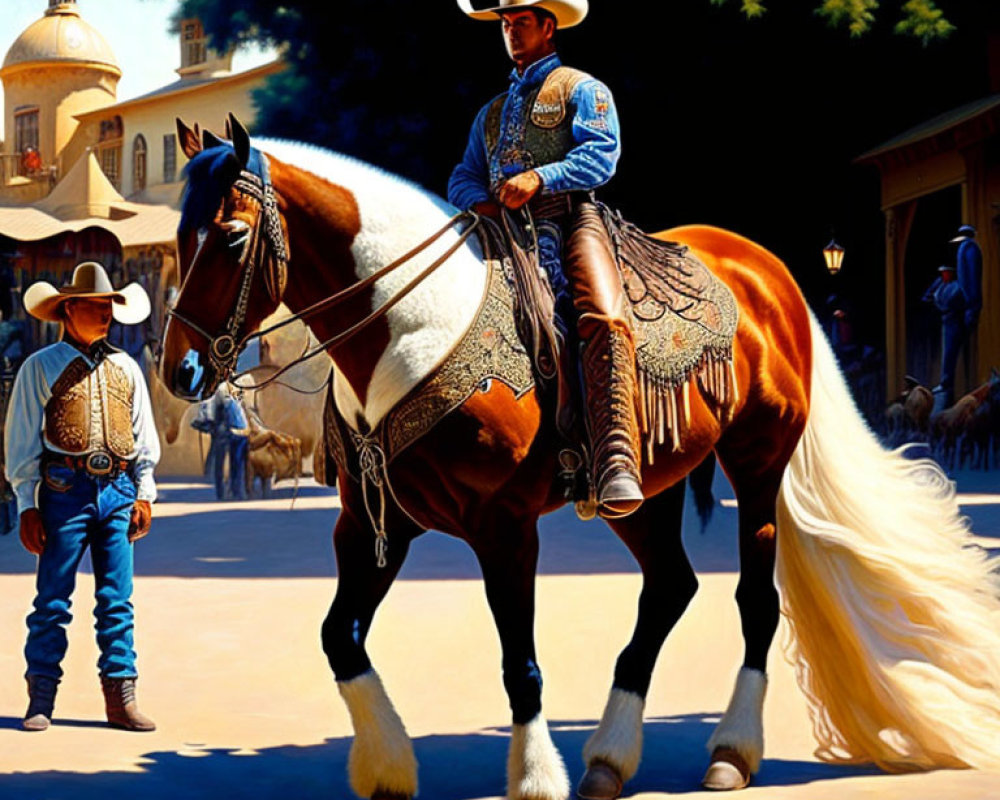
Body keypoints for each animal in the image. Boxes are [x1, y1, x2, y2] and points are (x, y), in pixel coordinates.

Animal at [160, 119, 1000, 800]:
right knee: (670, 586)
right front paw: (388, 766)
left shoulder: (504, 528)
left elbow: (518, 661)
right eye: (176, 241)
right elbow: (341, 637)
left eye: (229, 238)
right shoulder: (374, 525)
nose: (181, 371)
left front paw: (534, 776)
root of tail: (770, 273)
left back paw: (730, 751)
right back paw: (609, 759)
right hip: (644, 488)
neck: (412, 327)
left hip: (758, 464)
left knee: (755, 600)